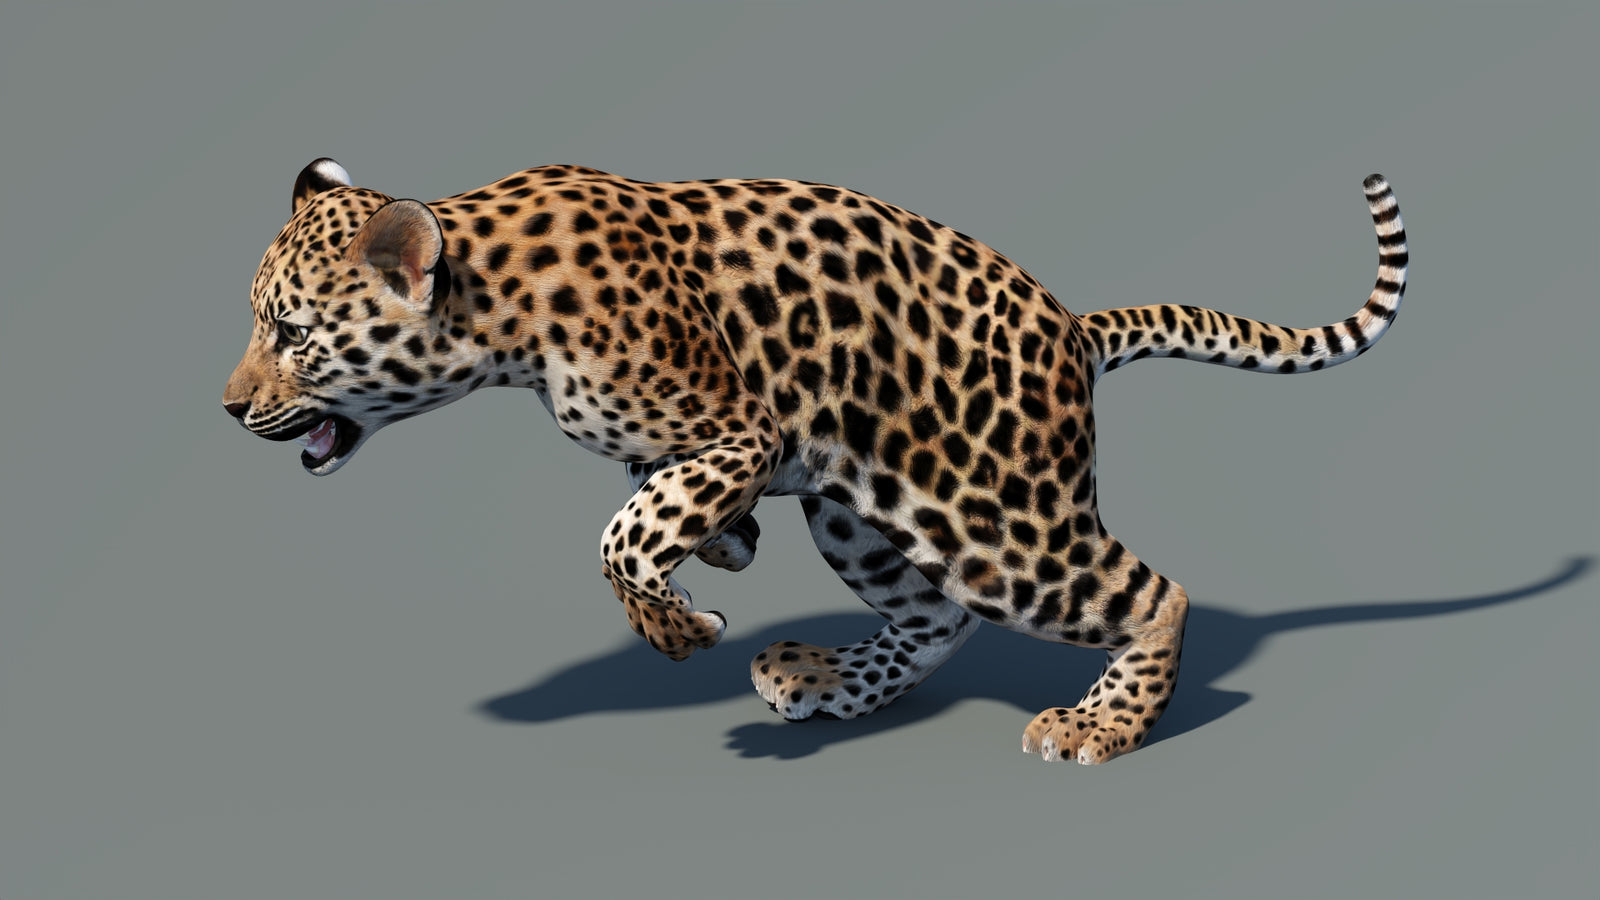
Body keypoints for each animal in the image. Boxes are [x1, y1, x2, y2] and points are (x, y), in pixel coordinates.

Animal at [224, 158, 1407, 764]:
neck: (497, 313)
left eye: (291, 333)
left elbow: (622, 538)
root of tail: (1072, 326)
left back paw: (1099, 725)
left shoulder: (741, 425)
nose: (230, 408)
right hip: (864, 512)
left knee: (1150, 594)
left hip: (993, 515)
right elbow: (657, 505)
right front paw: (728, 549)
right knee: (935, 618)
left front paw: (680, 625)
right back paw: (823, 678)